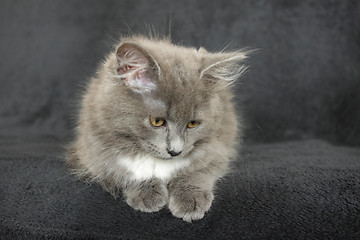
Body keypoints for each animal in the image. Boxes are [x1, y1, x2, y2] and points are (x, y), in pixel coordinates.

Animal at [67, 35, 248, 221]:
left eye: (193, 123)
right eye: (157, 121)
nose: (175, 151)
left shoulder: (217, 146)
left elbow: (196, 172)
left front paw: (190, 200)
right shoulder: (98, 152)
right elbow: (129, 171)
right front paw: (148, 194)